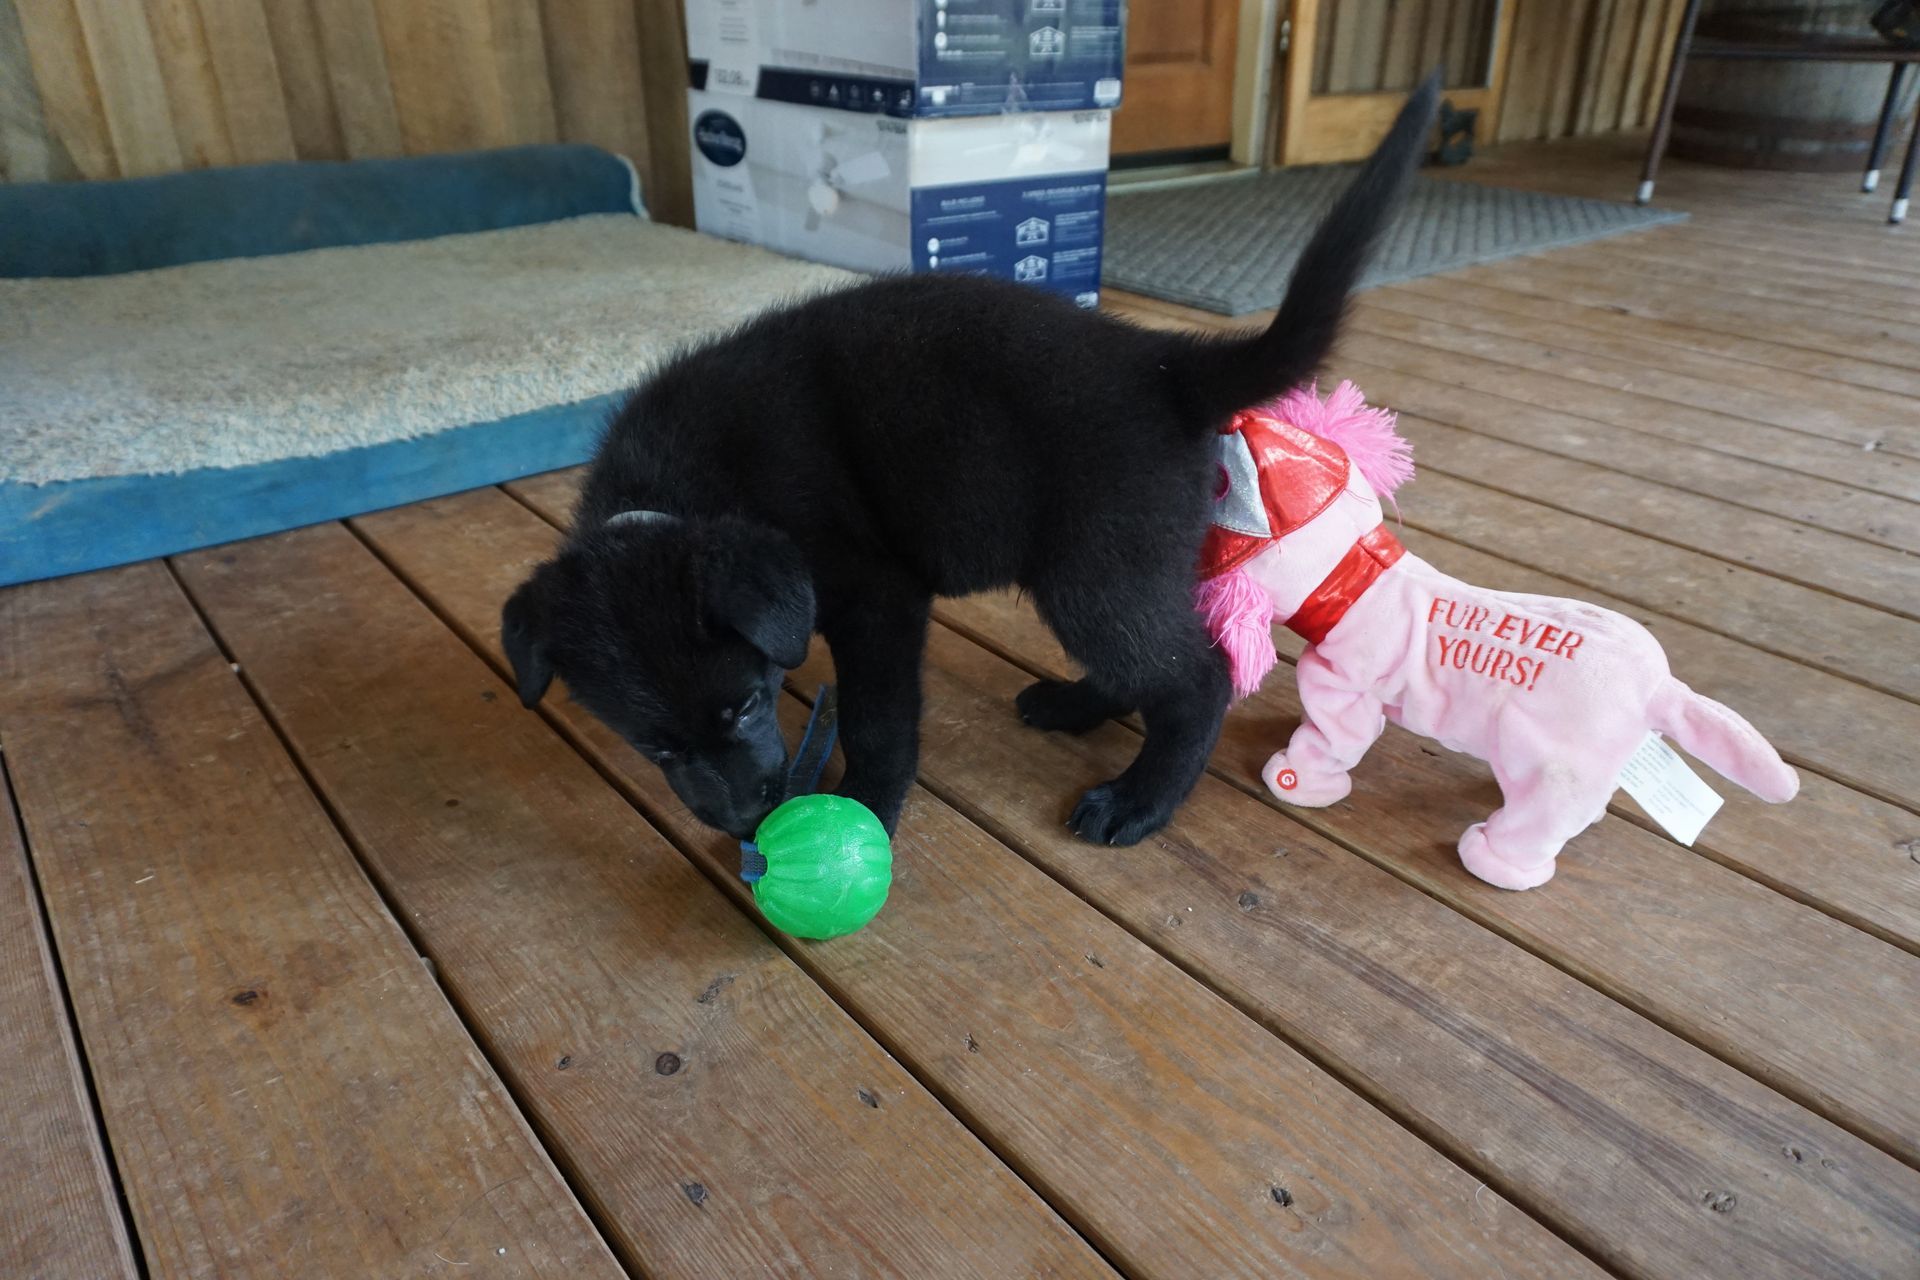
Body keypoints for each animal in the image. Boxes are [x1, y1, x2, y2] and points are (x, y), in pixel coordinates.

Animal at [503, 75, 1436, 844]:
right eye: (655, 746)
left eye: (744, 706)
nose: (743, 823)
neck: (681, 486)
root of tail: (1165, 365)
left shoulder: (875, 596)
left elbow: (878, 719)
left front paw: (867, 804)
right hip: (1131, 564)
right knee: (1155, 655)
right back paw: (1077, 703)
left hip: (1091, 570)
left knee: (1196, 675)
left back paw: (1139, 801)